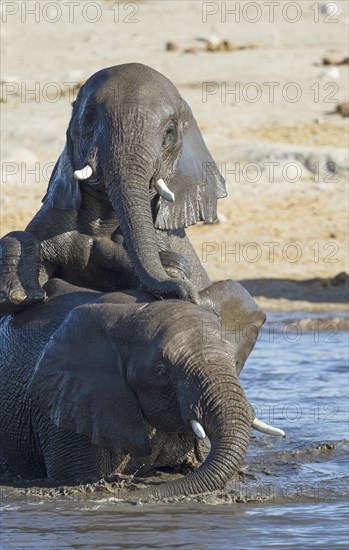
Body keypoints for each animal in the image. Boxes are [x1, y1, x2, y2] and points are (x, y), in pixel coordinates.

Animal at [0, 63, 226, 314]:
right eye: (89, 118)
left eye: (169, 132)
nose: (192, 297)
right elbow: (24, 240)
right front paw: (23, 293)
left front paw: (171, 267)